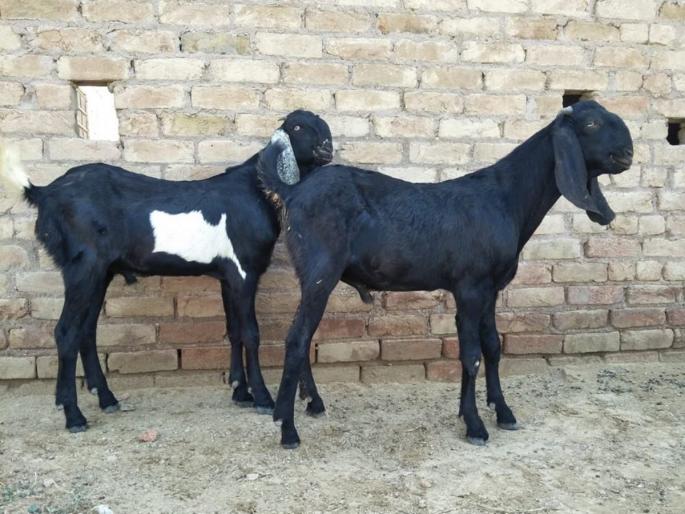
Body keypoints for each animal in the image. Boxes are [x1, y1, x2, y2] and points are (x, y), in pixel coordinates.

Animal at [0, 110, 333, 433]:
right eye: (298, 127)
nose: (327, 147)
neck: (255, 189)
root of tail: (44, 193)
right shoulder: (243, 271)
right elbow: (251, 332)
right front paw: (262, 398)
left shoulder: (226, 276)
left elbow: (234, 330)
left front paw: (240, 392)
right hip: (83, 266)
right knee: (66, 332)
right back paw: (73, 415)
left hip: (100, 272)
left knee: (86, 330)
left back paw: (106, 399)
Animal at [258, 100, 634, 448]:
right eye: (591, 123)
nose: (628, 154)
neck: (505, 199)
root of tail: (292, 190)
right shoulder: (469, 287)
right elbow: (471, 355)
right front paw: (475, 425)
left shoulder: (490, 289)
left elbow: (492, 346)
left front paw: (503, 412)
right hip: (321, 271)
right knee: (296, 339)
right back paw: (287, 429)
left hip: (310, 277)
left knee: (302, 335)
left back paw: (308, 404)